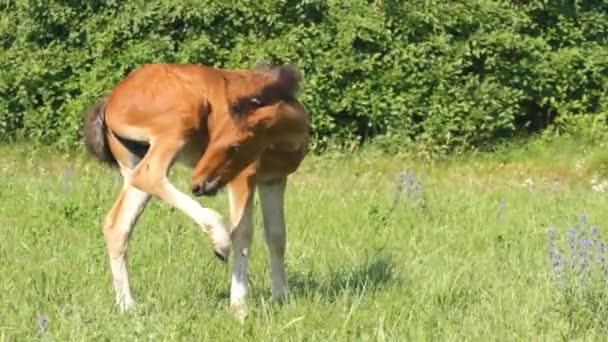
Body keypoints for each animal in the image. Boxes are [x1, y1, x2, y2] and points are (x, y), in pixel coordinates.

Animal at [82, 62, 308, 320]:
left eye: (235, 146)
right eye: (213, 135)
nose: (199, 183)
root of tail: (109, 101)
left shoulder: (274, 179)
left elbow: (277, 235)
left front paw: (280, 296)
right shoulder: (243, 178)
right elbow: (242, 234)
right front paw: (239, 306)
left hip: (133, 160)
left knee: (117, 224)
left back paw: (127, 306)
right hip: (177, 125)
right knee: (149, 175)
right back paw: (218, 238)